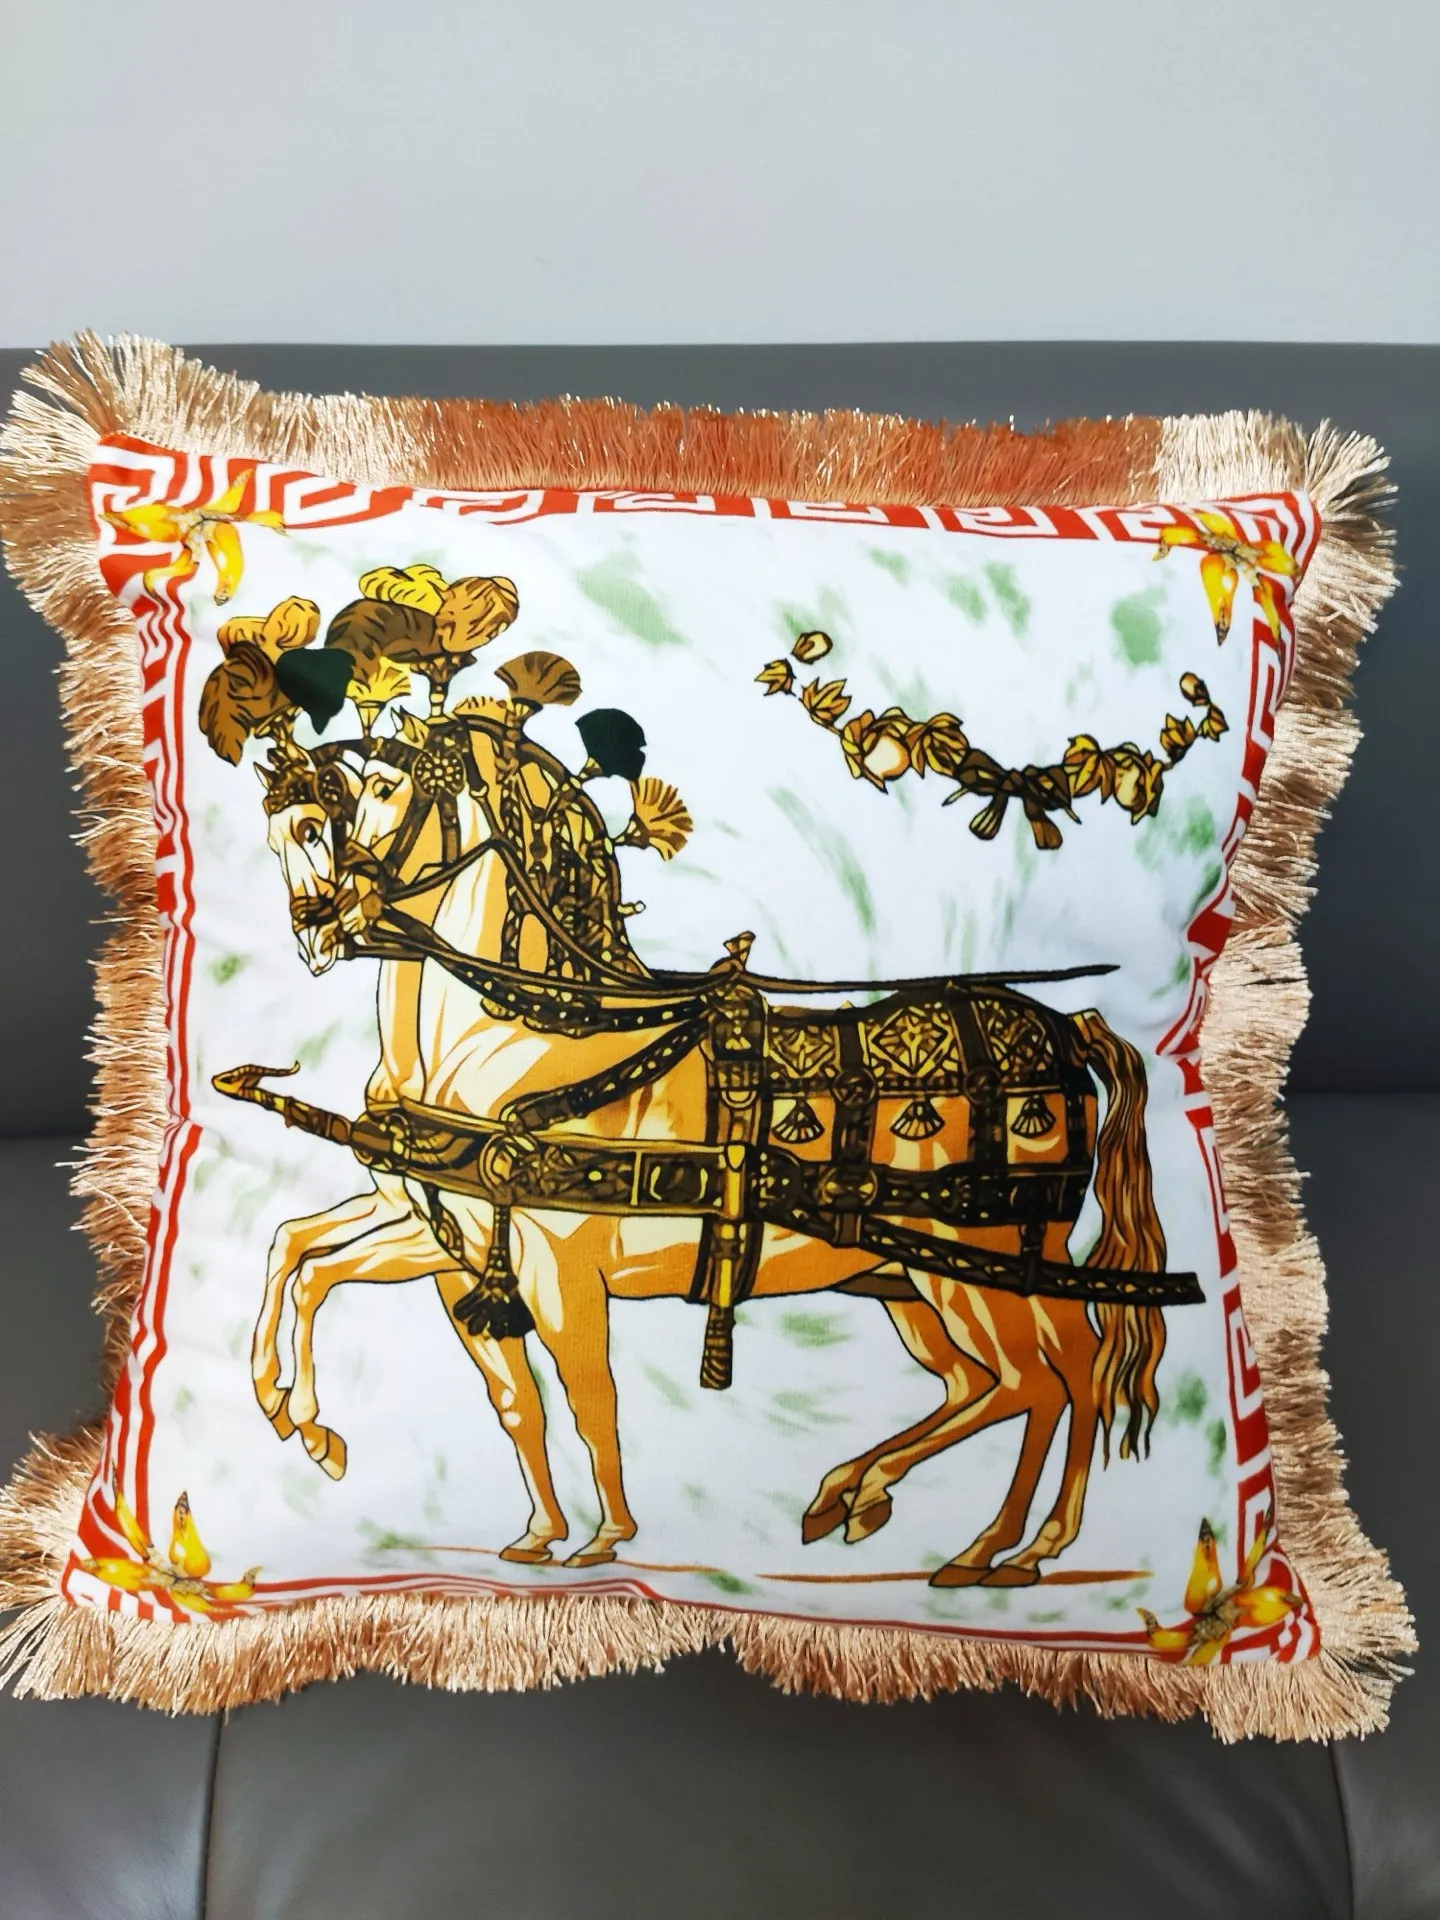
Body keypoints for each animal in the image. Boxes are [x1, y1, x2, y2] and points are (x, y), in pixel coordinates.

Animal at [237, 705, 1180, 1585]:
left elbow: (589, 1396)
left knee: (1039, 1382)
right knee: (1029, 1376)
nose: (318, 926)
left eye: (376, 791)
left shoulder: (556, 1272)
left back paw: (982, 1543)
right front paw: (310, 1424)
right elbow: (342, 1285)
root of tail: (1066, 1029)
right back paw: (908, 1508)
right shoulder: (450, 1248)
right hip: (924, 1279)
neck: (515, 1037)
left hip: (977, 1269)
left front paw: (604, 1535)